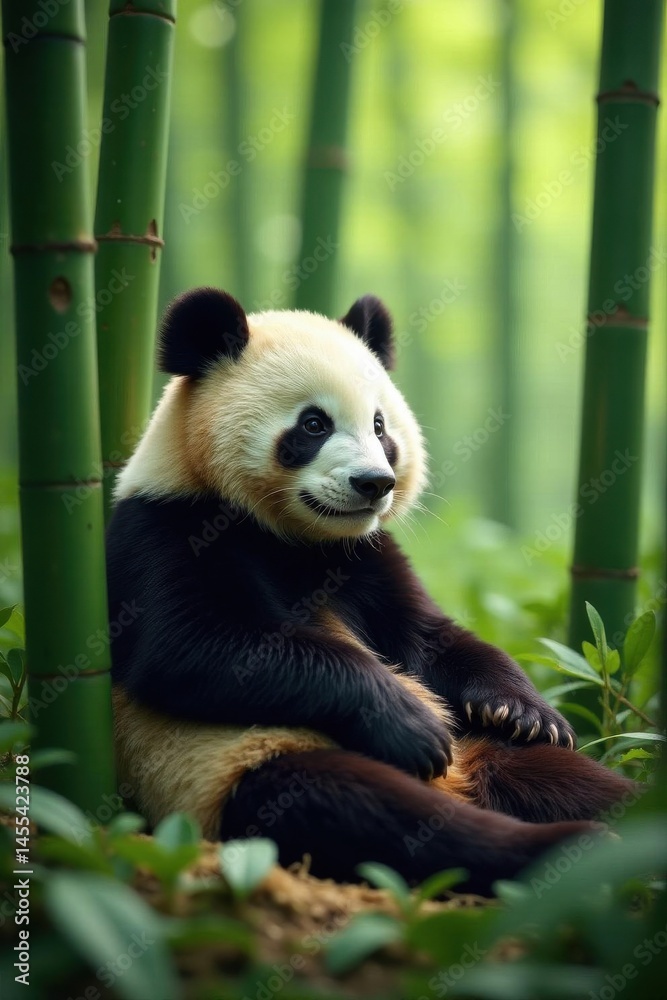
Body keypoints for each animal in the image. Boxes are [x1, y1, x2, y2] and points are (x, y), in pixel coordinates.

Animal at [107, 288, 635, 895]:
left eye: (381, 425)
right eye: (313, 424)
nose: (374, 483)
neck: (294, 539)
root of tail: (459, 783)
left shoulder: (369, 558)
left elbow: (434, 639)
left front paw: (524, 712)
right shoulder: (162, 530)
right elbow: (195, 646)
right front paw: (410, 722)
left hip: (480, 753)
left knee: (562, 777)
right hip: (242, 764)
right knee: (370, 814)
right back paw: (564, 849)